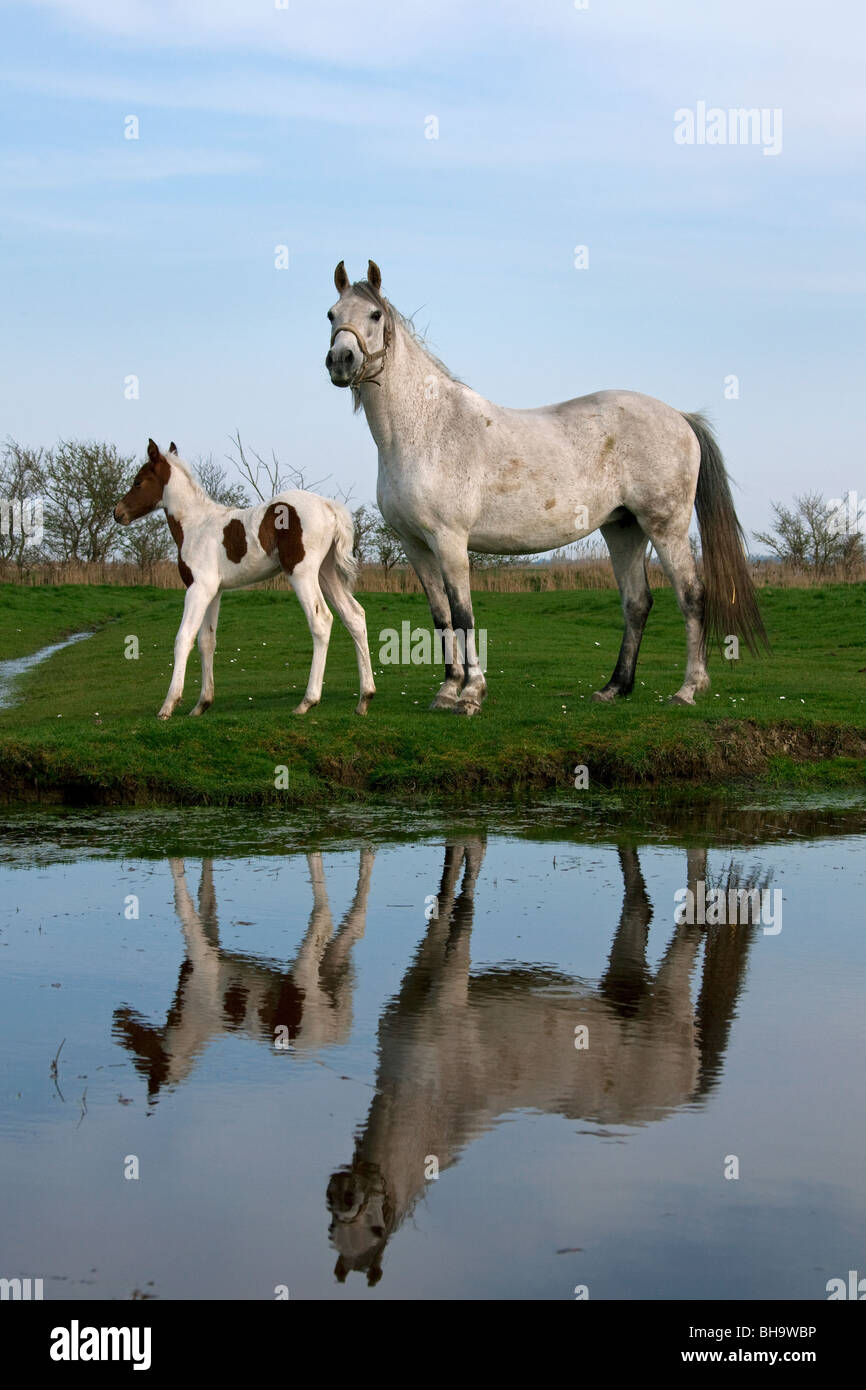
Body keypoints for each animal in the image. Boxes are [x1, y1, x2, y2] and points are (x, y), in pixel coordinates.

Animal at [113, 433, 375, 717]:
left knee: (321, 620)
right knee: (354, 615)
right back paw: (365, 698)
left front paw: (168, 705)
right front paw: (202, 704)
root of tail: (329, 506)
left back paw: (308, 701)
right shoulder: (214, 591)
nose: (118, 513)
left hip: (301, 572)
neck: (195, 525)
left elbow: (183, 638)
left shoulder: (198, 588)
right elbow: (207, 641)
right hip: (326, 572)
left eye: (138, 482)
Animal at [323, 259, 767, 717]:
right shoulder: (415, 545)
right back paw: (615, 687)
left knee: (692, 596)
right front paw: (446, 691)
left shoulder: (450, 540)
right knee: (637, 602)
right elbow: (441, 617)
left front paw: (471, 694)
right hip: (623, 528)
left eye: (375, 315)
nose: (340, 360)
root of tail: (679, 417)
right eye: (331, 315)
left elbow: (463, 616)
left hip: (665, 526)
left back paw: (688, 688)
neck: (426, 428)